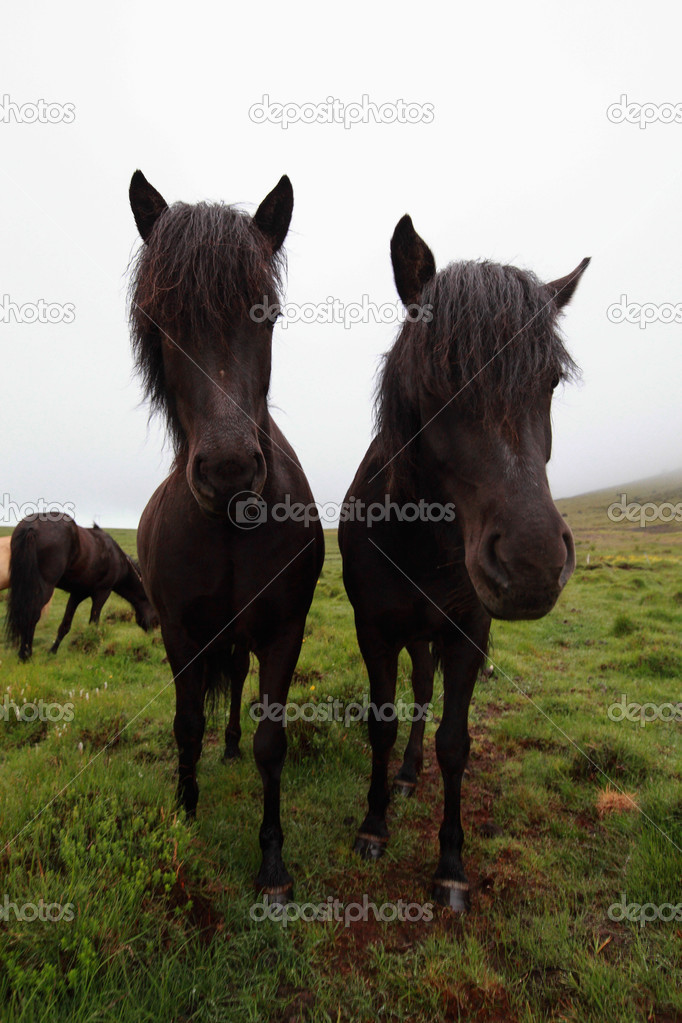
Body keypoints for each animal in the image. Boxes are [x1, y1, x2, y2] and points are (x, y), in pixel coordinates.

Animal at [5, 515, 157, 658]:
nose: (154, 635)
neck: (118, 560)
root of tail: (31, 528)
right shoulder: (102, 592)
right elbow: (93, 623)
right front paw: (91, 647)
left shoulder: (77, 594)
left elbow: (65, 625)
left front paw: (53, 651)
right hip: (44, 588)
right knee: (32, 613)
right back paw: (25, 654)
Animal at [128, 169, 325, 904]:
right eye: (161, 319)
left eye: (264, 312)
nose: (230, 468)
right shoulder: (181, 632)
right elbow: (186, 725)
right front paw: (185, 812)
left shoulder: (284, 630)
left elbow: (273, 740)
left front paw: (272, 862)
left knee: (238, 683)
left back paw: (235, 742)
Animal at [341, 215, 593, 912]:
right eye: (437, 380)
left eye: (549, 382)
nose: (532, 564)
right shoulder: (375, 630)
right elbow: (381, 724)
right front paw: (374, 825)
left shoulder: (467, 633)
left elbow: (454, 742)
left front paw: (451, 864)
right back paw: (403, 777)